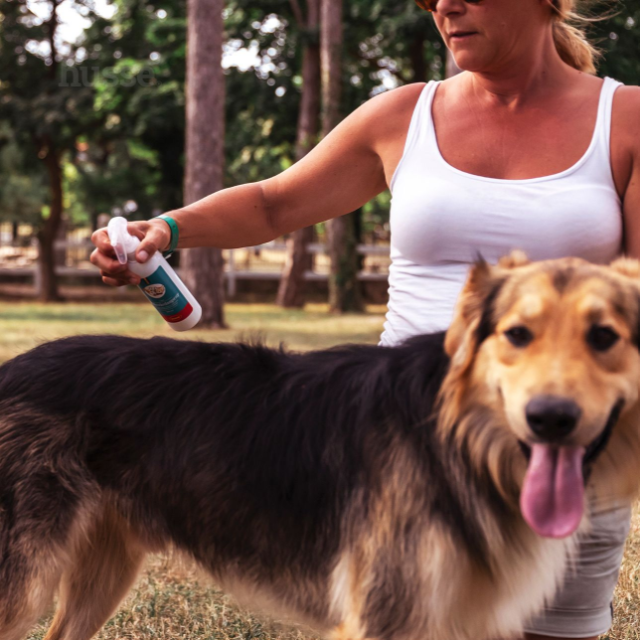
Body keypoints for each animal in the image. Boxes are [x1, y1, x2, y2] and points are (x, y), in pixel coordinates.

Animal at [1, 251, 640, 640]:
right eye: (517, 335)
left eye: (603, 337)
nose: (550, 419)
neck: (455, 439)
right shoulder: (384, 615)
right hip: (23, 581)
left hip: (103, 568)